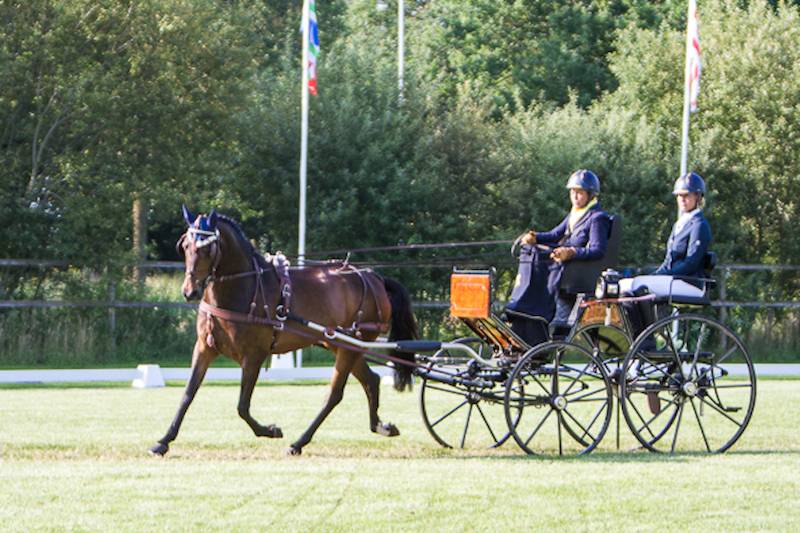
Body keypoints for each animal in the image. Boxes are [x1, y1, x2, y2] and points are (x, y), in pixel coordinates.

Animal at [148, 206, 418, 456]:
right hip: (341, 344)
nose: (189, 292)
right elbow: (188, 394)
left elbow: (242, 406)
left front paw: (270, 430)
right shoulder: (204, 348)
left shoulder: (254, 356)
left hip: (350, 346)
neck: (244, 285)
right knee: (370, 380)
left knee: (334, 394)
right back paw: (380, 426)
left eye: (207, 249)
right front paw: (163, 441)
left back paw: (298, 443)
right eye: (184, 246)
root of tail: (374, 277)